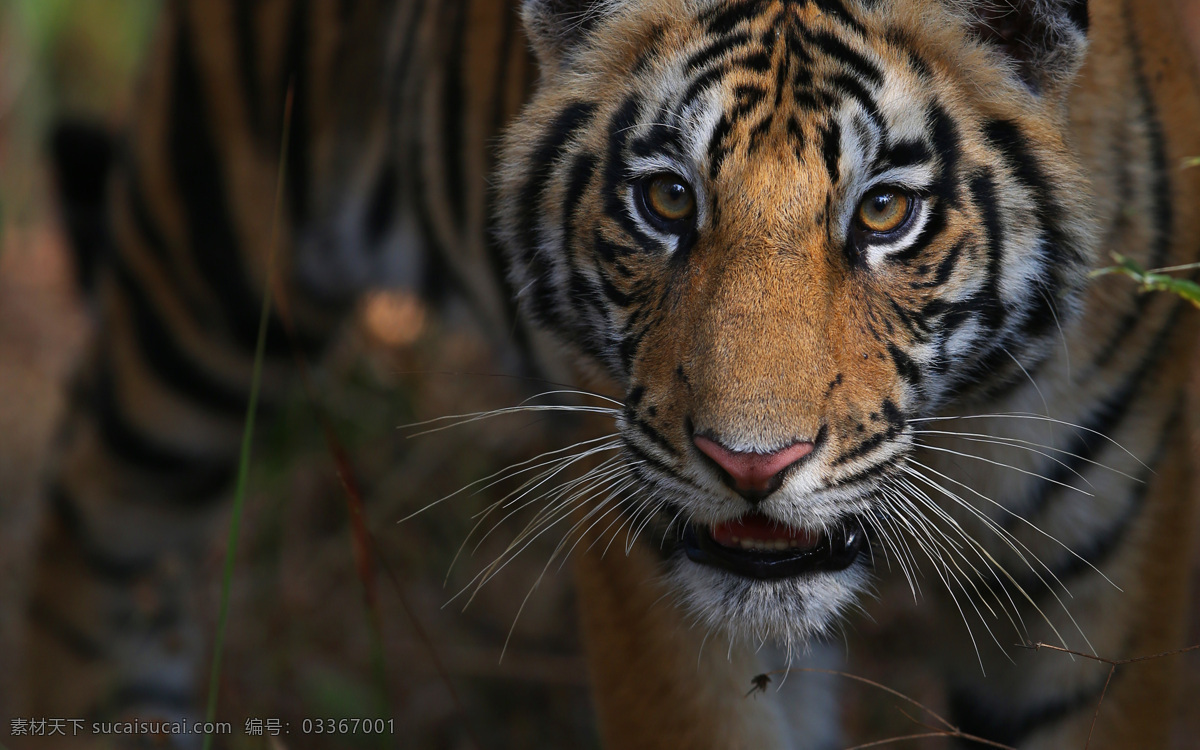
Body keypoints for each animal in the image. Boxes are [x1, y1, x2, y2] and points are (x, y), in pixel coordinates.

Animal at [16, 0, 1200, 744]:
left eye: (883, 213)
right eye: (667, 199)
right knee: (89, 514)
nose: (750, 464)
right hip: (210, 243)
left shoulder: (1103, 591)